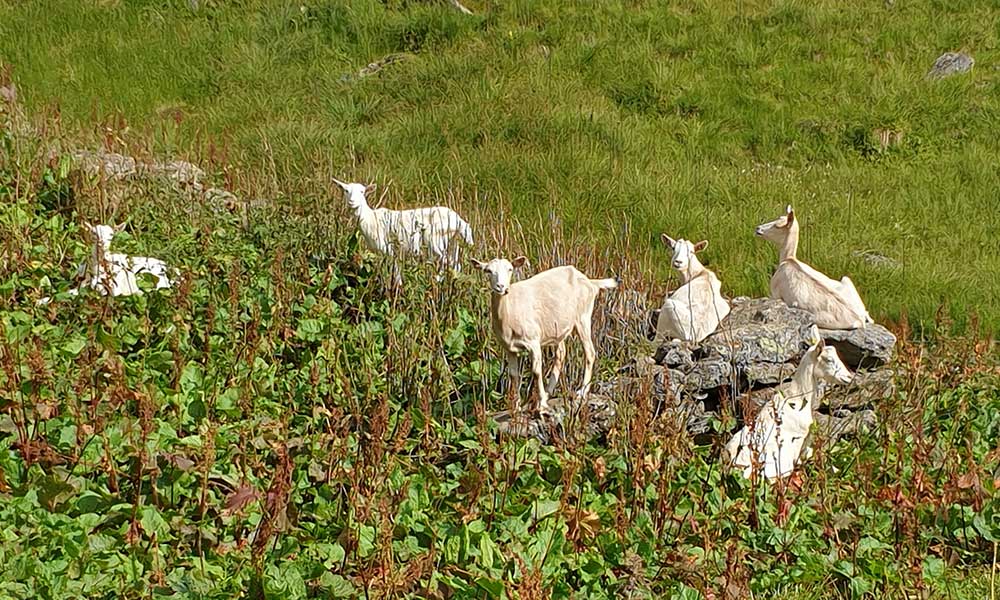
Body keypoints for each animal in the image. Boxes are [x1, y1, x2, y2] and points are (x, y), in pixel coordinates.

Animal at [334, 178, 474, 284]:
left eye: (362, 192)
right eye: (346, 190)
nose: (352, 202)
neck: (369, 218)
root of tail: (460, 221)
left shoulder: (387, 247)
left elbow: (394, 268)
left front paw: (398, 286)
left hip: (434, 237)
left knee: (444, 259)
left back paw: (436, 280)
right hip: (452, 241)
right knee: (454, 263)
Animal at [470, 258, 616, 418]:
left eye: (510, 269)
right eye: (488, 271)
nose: (501, 287)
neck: (510, 310)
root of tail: (590, 281)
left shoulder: (533, 342)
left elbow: (536, 371)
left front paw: (542, 406)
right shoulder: (509, 348)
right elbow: (513, 375)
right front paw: (516, 408)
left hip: (582, 317)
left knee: (589, 352)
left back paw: (581, 391)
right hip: (559, 328)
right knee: (561, 353)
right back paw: (548, 392)